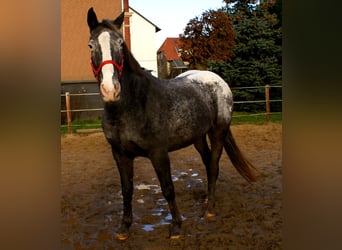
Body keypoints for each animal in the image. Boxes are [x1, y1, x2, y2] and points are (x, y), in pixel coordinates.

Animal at [87, 6, 255, 239]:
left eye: (121, 43)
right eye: (91, 45)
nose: (110, 90)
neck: (133, 105)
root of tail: (218, 80)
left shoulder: (158, 152)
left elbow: (167, 187)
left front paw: (176, 225)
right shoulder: (120, 154)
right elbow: (127, 189)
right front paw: (124, 227)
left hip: (218, 132)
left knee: (213, 165)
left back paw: (209, 208)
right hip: (198, 137)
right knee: (207, 162)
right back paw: (206, 197)